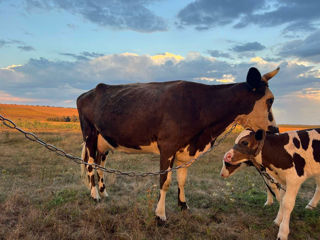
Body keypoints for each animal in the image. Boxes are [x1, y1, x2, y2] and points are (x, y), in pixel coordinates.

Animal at [77, 66, 280, 222]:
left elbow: (182, 179)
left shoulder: (186, 149)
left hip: (103, 143)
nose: (275, 130)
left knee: (100, 165)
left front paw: (183, 205)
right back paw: (95, 196)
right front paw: (160, 215)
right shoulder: (167, 146)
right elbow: (164, 181)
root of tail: (89, 92)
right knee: (90, 165)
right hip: (90, 135)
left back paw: (103, 193)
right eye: (270, 100)